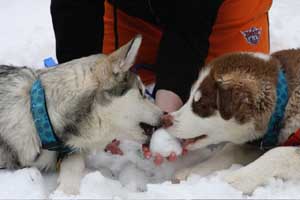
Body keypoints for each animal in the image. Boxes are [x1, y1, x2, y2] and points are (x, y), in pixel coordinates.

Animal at [164, 49, 300, 194]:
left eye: (203, 105)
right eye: (190, 98)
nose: (165, 120)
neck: (283, 104)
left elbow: (278, 153)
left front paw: (234, 179)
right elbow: (230, 149)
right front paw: (192, 171)